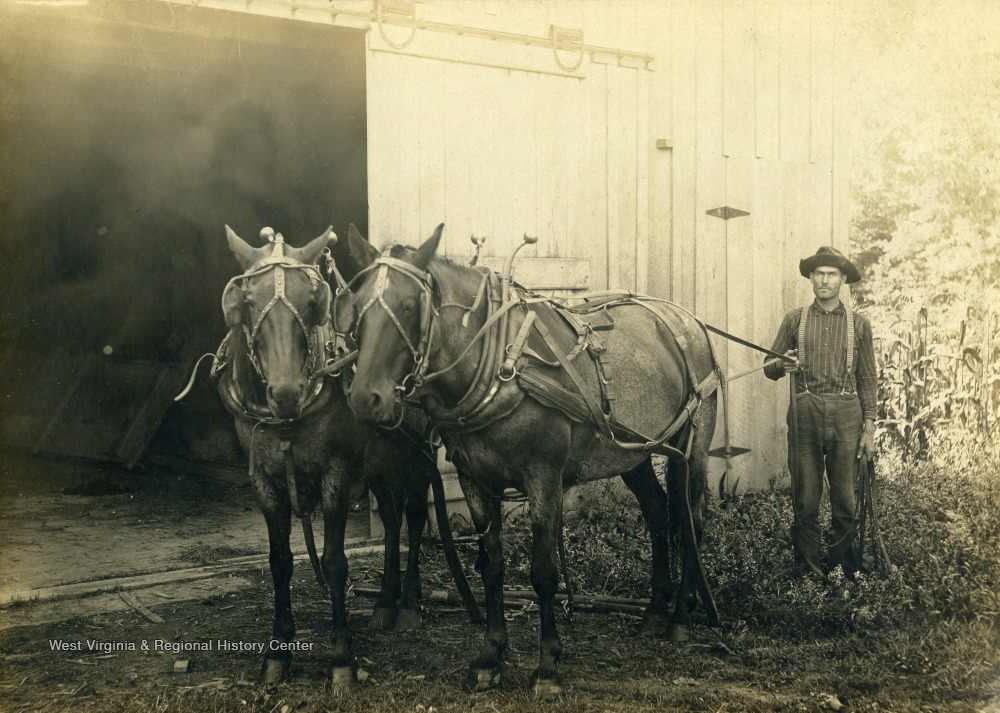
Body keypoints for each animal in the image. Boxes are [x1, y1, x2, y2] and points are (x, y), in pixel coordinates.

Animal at [215, 225, 481, 686]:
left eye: (312, 301)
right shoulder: (264, 479)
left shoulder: (335, 473)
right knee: (390, 521)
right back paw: (385, 602)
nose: (287, 392)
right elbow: (280, 562)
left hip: (413, 458)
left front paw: (341, 656)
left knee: (413, 518)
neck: (288, 420)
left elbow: (335, 562)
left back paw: (409, 604)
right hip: (378, 463)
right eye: (246, 302)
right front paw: (278, 650)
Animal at [334, 224, 720, 695]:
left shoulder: (544, 478)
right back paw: (653, 612)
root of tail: (688, 320)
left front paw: (548, 664)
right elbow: (492, 566)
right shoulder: (474, 481)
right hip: (634, 453)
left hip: (690, 447)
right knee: (658, 512)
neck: (498, 367)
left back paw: (680, 616)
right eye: (355, 307)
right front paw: (490, 655)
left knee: (691, 516)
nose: (364, 398)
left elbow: (543, 572)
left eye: (409, 306)